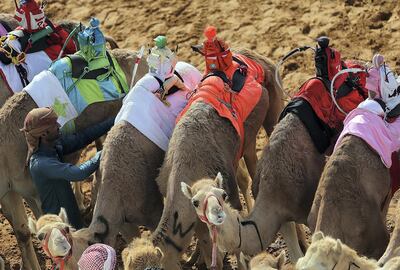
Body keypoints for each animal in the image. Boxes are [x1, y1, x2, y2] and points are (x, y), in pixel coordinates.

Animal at [123, 49, 282, 270]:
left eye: (153, 268)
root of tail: (253, 57)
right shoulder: (196, 217)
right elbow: (209, 251)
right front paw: (196, 259)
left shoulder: (227, 197)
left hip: (272, 113)